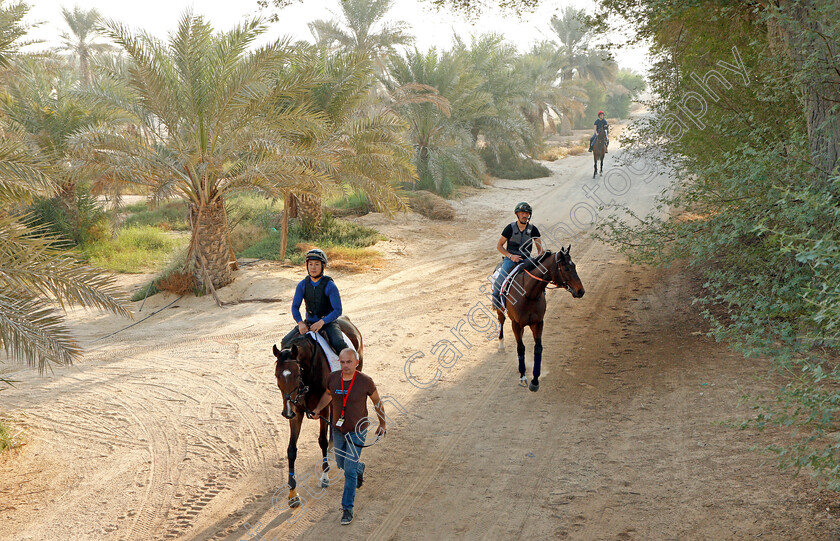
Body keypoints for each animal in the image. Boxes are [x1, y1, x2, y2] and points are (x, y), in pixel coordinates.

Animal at [270, 314, 360, 508]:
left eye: (297, 374)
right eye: (277, 375)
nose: (286, 412)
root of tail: (347, 320)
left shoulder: (322, 409)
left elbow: (322, 442)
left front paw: (324, 478)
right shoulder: (296, 411)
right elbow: (291, 450)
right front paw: (292, 493)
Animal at [496, 247, 580, 390]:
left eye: (574, 265)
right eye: (566, 268)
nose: (581, 291)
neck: (528, 294)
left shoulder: (538, 323)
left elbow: (538, 348)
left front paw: (535, 381)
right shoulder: (515, 323)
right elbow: (520, 348)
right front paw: (523, 377)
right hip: (499, 308)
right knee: (501, 321)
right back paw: (501, 344)